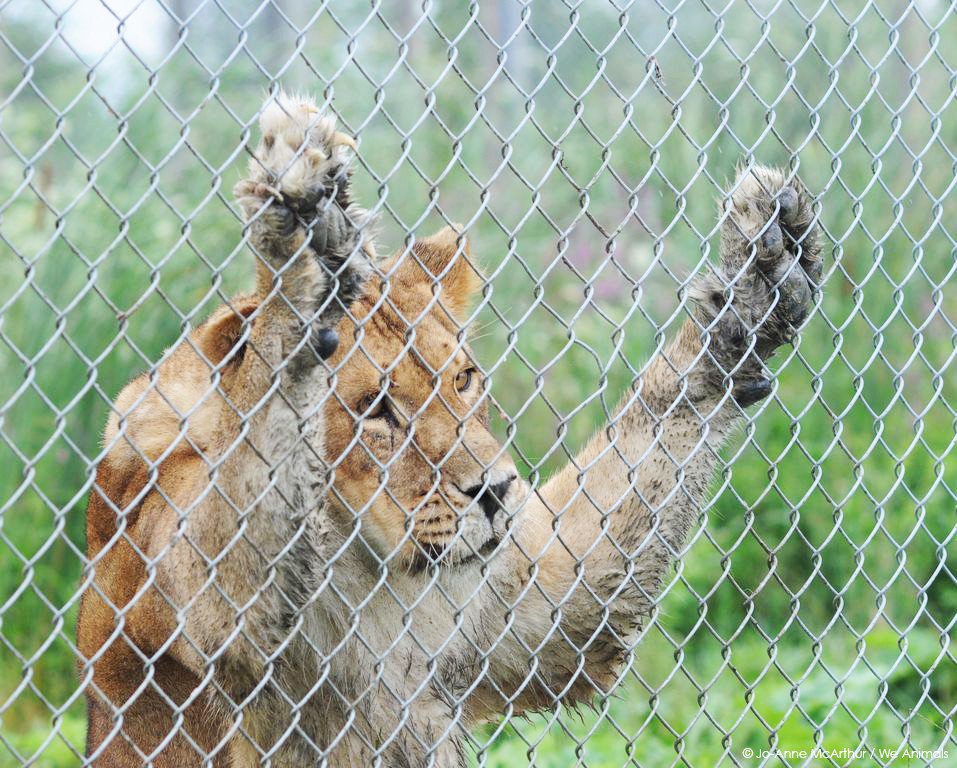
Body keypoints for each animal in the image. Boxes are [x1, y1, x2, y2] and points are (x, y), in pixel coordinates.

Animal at [76, 91, 820, 768]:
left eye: (463, 379)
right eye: (376, 410)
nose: (495, 493)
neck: (367, 569)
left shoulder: (526, 624)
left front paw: (756, 285)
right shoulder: (206, 609)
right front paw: (300, 243)